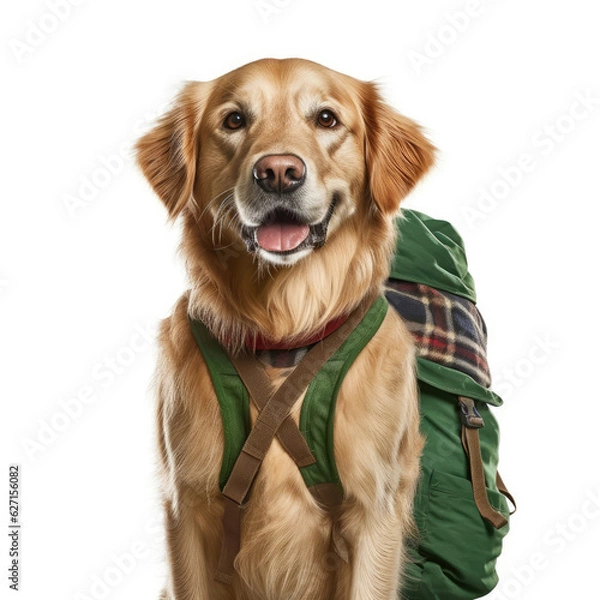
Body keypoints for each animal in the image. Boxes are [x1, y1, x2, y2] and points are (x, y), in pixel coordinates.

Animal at [137, 57, 432, 600]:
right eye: (234, 120)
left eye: (327, 119)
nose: (278, 172)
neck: (284, 331)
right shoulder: (187, 508)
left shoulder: (373, 511)